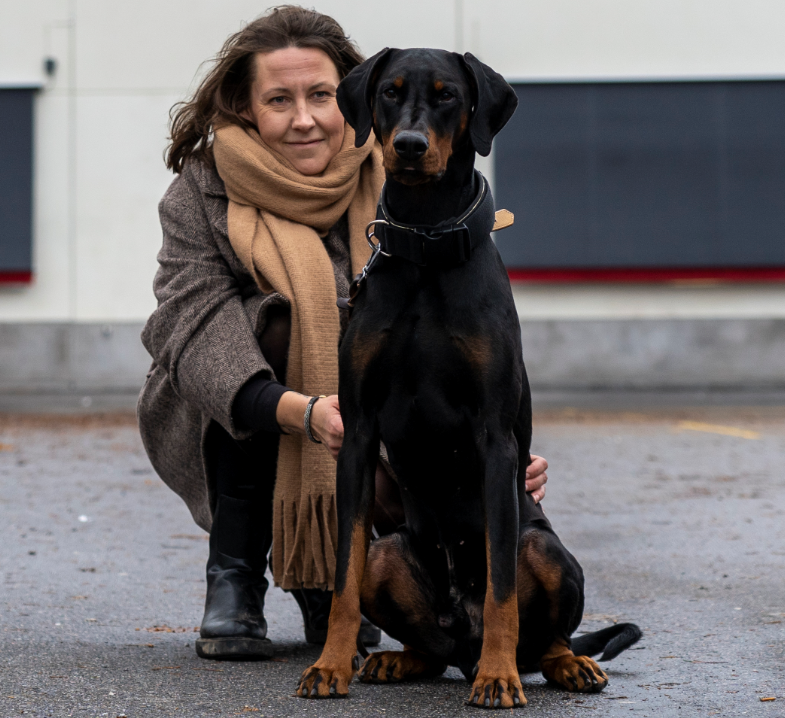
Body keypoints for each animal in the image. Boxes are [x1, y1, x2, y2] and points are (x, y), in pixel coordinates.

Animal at [297, 48, 641, 708]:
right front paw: (329, 665)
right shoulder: (358, 433)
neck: (426, 244)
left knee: (545, 635)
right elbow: (344, 577)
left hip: (546, 548)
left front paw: (498, 678)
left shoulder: (495, 439)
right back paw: (400, 659)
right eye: (390, 92)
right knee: (428, 642)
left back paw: (554, 664)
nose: (408, 146)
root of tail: (463, 636)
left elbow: (503, 584)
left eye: (447, 95)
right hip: (390, 551)